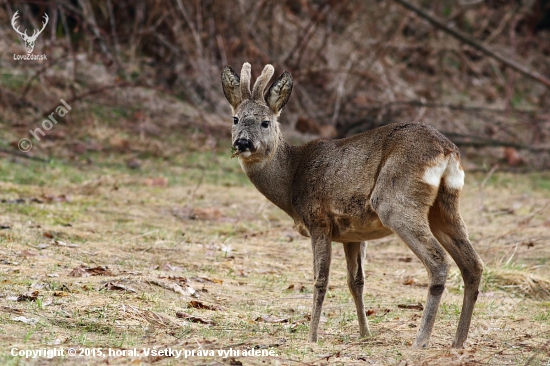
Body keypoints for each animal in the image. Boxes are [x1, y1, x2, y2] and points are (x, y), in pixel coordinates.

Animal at [222, 63, 486, 348]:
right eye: (235, 119)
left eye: (265, 122)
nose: (242, 143)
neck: (292, 180)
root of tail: (448, 151)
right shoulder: (352, 235)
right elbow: (356, 281)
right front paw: (365, 333)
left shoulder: (318, 220)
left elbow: (320, 280)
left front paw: (312, 337)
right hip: (446, 205)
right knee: (473, 264)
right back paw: (458, 341)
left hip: (395, 201)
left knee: (438, 262)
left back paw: (421, 341)